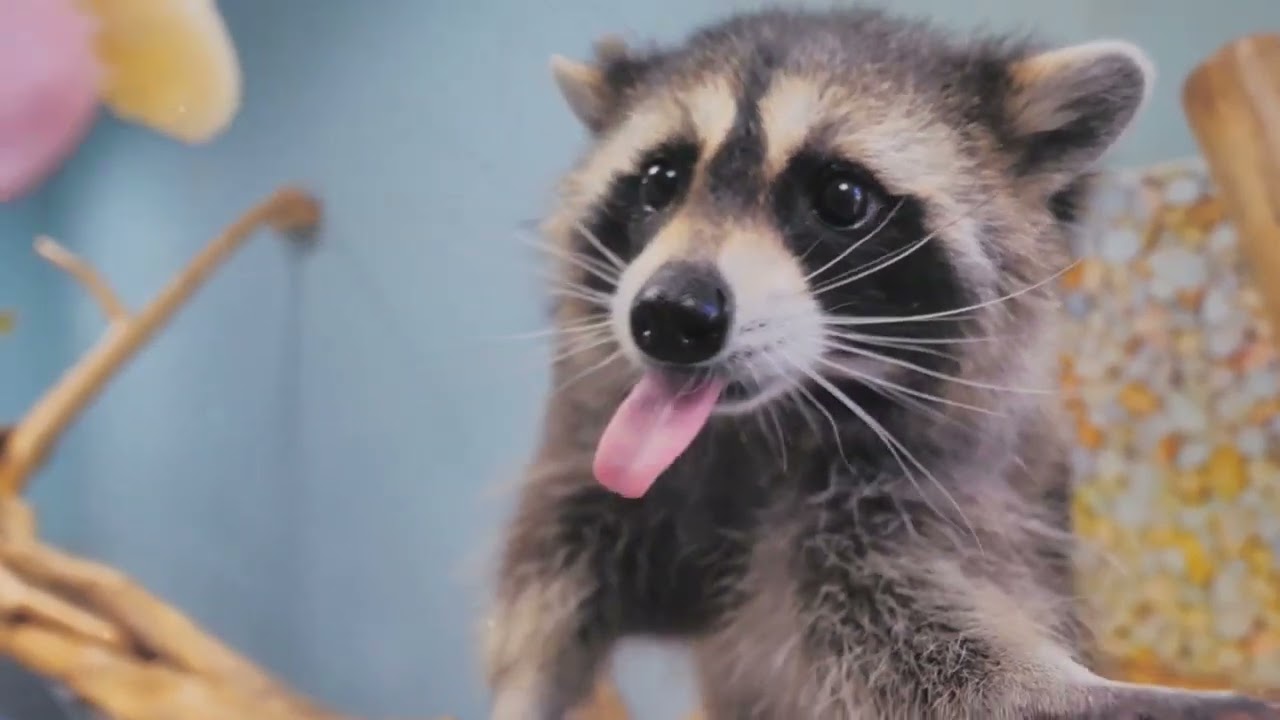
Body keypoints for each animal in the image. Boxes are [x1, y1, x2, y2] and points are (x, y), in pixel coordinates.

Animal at [483, 7, 1280, 719]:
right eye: (658, 181)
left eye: (842, 197)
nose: (671, 317)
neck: (758, 431)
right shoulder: (586, 456)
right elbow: (546, 590)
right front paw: (524, 687)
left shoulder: (934, 491)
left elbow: (935, 651)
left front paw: (1078, 693)